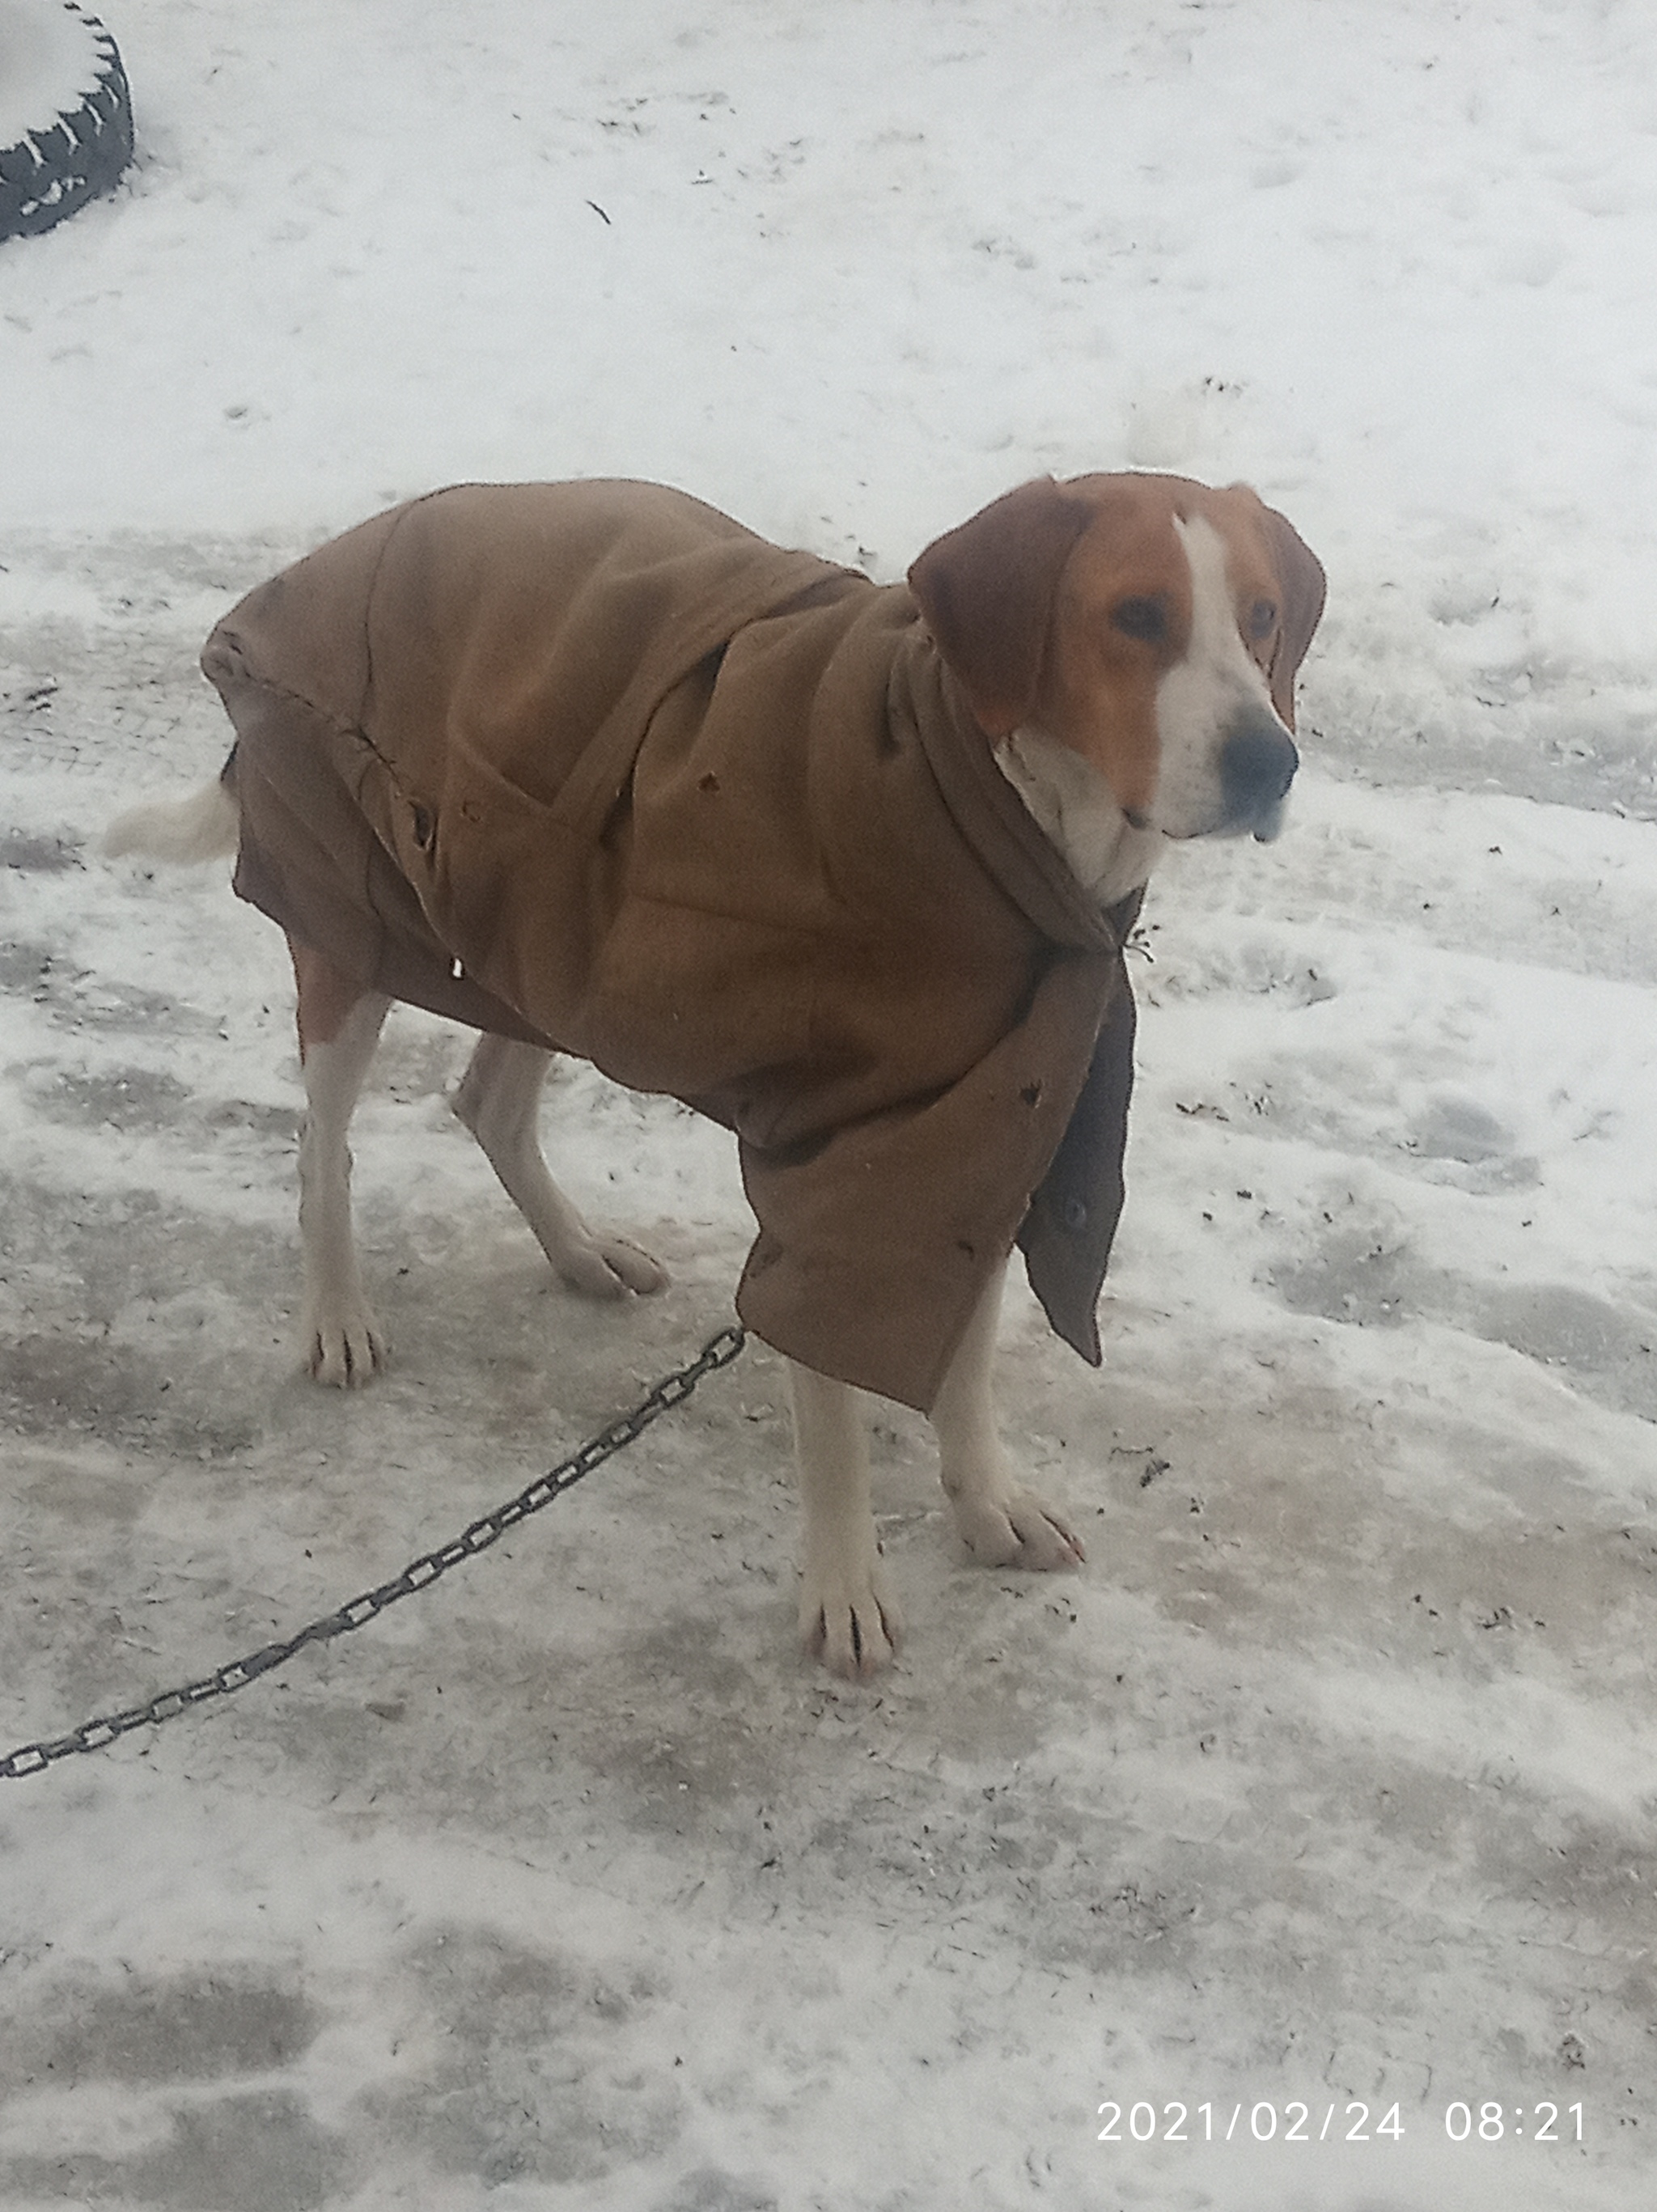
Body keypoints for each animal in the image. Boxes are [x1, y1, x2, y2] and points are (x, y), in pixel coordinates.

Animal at [103, 466, 1327, 1672]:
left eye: (1262, 616)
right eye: (1137, 617)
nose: (1271, 763)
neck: (998, 815)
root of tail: (357, 542)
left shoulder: (989, 1118)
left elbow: (966, 1358)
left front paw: (987, 1502)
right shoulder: (842, 1164)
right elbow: (832, 1411)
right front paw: (845, 1590)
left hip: (550, 933)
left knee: (488, 1103)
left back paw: (579, 1252)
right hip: (355, 927)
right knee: (323, 1147)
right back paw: (338, 1314)